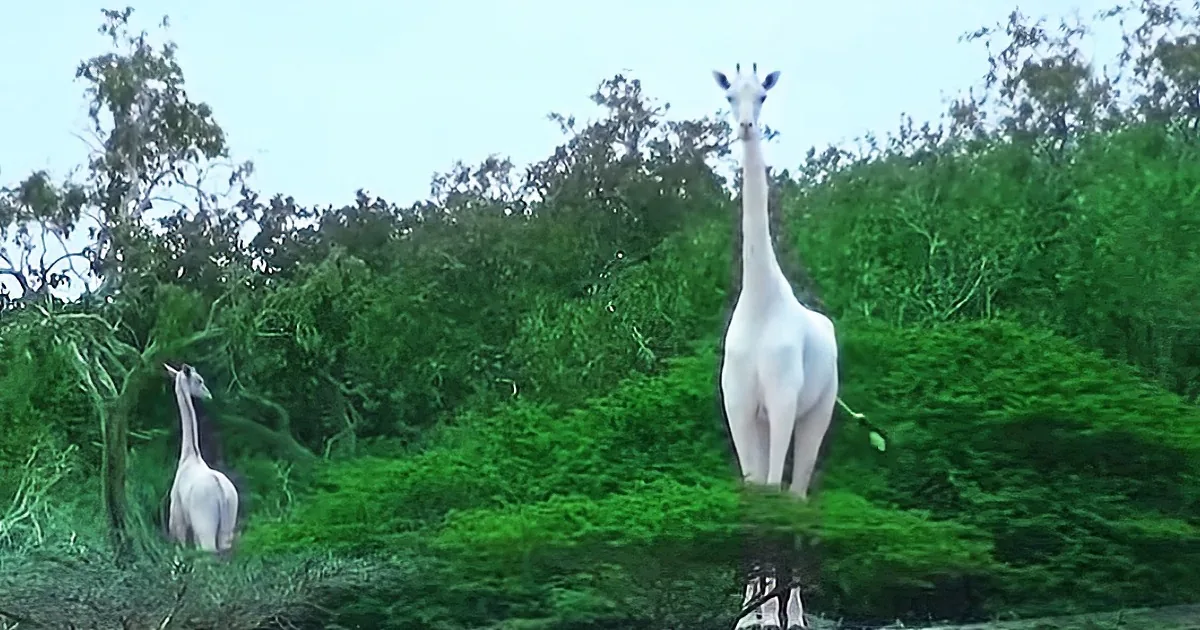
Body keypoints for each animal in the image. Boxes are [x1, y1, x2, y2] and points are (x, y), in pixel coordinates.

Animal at [165, 363, 240, 554]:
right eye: (199, 380)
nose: (208, 395)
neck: (189, 456)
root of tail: (222, 493)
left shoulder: (177, 519)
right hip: (228, 525)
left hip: (204, 524)